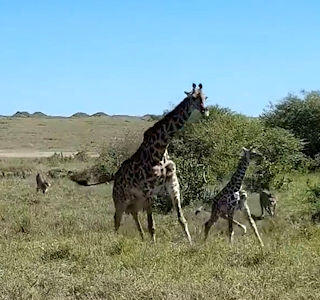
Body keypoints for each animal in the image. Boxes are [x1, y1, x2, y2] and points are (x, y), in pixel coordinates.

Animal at [112, 83, 208, 243]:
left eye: (205, 97)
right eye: (193, 98)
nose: (205, 111)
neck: (161, 148)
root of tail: (115, 179)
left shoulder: (173, 184)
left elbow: (182, 219)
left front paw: (190, 243)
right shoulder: (148, 190)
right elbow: (151, 224)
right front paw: (154, 245)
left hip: (135, 200)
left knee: (134, 215)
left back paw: (142, 238)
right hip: (121, 199)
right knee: (117, 219)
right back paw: (116, 240)